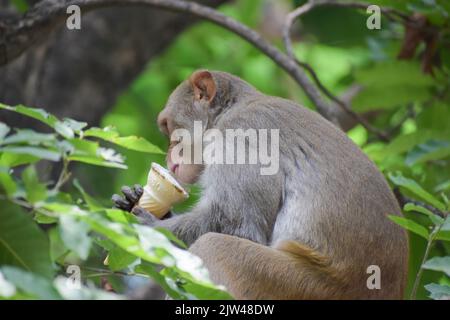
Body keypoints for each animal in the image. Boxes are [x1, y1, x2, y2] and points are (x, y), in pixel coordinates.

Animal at [111, 70, 408, 300]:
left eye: (168, 127)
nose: (169, 155)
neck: (231, 111)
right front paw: (133, 199)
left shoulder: (240, 135)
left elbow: (239, 225)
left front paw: (147, 228)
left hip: (304, 286)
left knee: (214, 246)